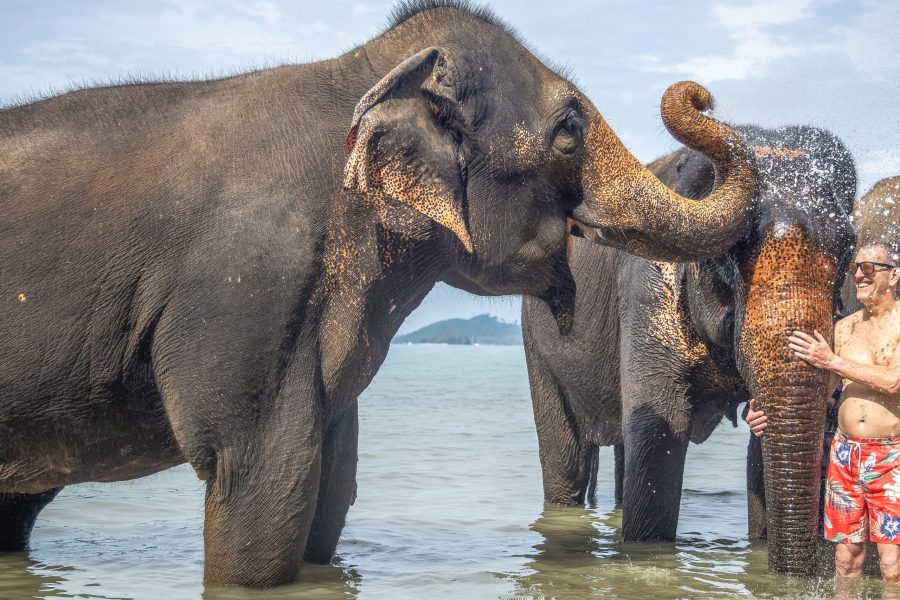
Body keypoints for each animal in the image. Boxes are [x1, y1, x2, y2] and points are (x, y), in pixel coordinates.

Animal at [0, 0, 760, 592]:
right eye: (570, 132)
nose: (700, 94)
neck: (360, 73)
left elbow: (329, 480)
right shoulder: (248, 287)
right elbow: (259, 475)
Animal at [524, 123, 856, 576]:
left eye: (849, 245)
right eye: (730, 249)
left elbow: (759, 451)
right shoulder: (647, 289)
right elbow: (659, 433)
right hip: (536, 338)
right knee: (567, 461)